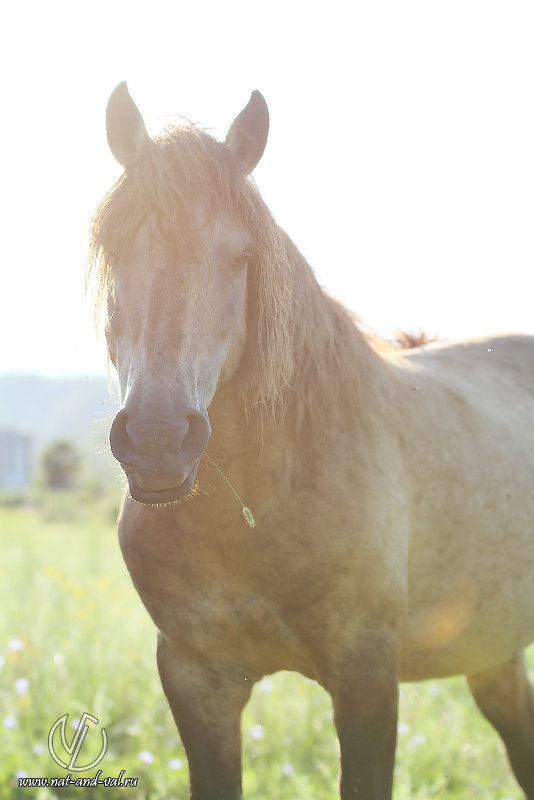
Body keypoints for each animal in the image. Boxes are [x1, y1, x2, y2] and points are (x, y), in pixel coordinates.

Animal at [90, 84, 534, 796]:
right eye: (113, 246)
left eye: (241, 256)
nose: (159, 440)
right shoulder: (197, 682)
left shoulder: (367, 681)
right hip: (493, 652)